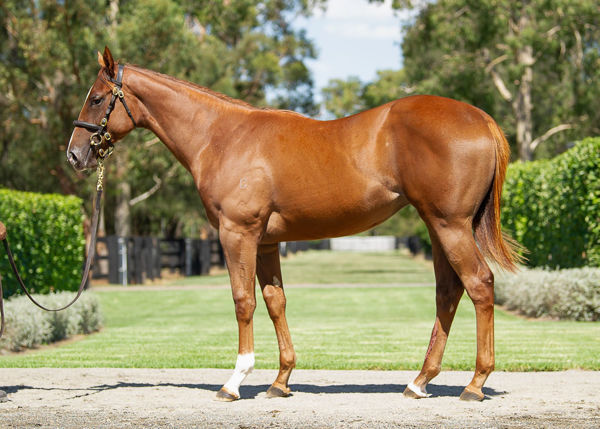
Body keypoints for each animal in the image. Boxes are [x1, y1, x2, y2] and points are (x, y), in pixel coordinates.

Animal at [67, 47, 520, 402]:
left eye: (96, 98)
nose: (74, 155)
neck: (222, 137)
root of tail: (481, 119)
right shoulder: (267, 242)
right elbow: (274, 302)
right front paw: (281, 380)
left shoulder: (237, 234)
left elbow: (243, 301)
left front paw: (235, 381)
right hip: (438, 226)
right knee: (449, 292)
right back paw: (419, 381)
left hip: (450, 225)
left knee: (479, 284)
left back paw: (474, 384)